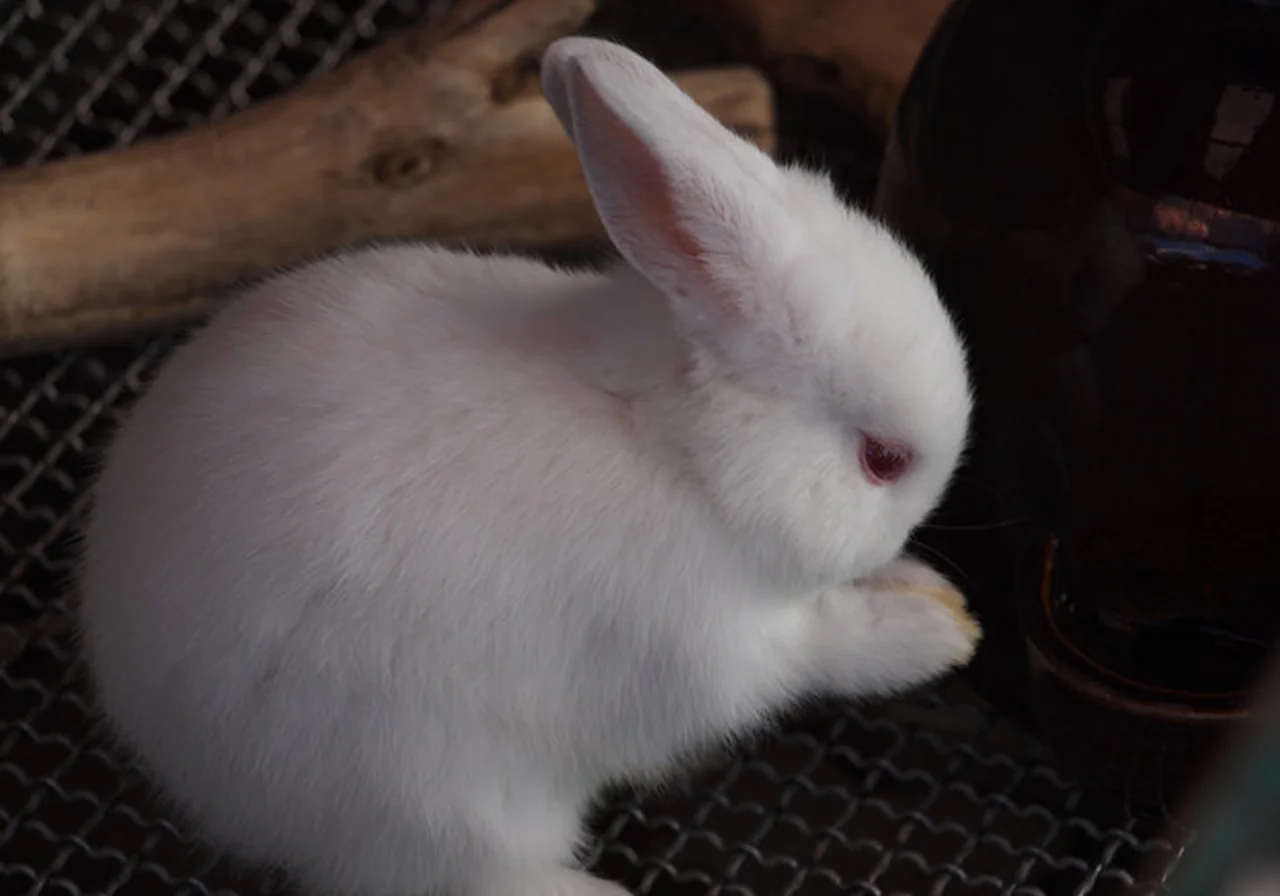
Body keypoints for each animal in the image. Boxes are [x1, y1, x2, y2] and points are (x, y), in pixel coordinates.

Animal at [76, 35, 978, 896]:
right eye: (883, 461)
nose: (921, 517)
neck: (683, 451)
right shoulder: (710, 651)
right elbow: (818, 648)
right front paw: (934, 634)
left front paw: (930, 593)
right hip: (442, 803)